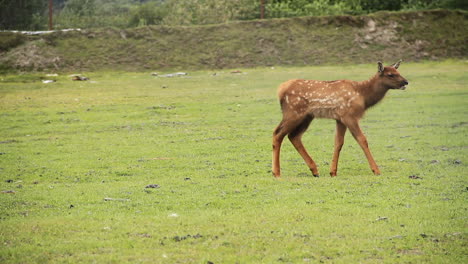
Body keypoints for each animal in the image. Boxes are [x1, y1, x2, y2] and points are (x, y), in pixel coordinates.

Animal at [272, 60, 408, 178]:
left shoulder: (340, 118)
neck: (363, 96)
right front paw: (376, 170)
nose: (406, 82)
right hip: (293, 112)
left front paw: (333, 172)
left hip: (306, 117)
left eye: (398, 71)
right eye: (390, 74)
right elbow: (362, 139)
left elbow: (338, 142)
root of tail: (280, 90)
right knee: (278, 133)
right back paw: (276, 173)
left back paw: (314, 171)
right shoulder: (349, 115)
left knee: (294, 136)